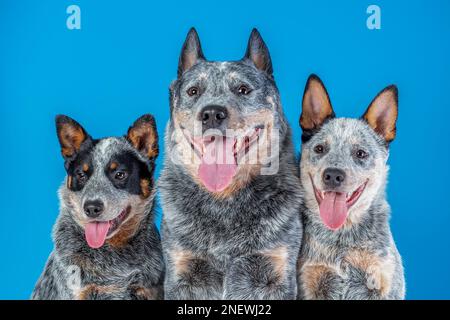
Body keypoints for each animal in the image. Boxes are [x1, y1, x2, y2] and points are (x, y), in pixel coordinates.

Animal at [158, 28, 302, 300]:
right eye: (193, 91)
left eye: (243, 89)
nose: (212, 113)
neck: (224, 200)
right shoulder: (182, 272)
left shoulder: (277, 271)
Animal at [298, 75, 406, 300]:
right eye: (320, 148)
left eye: (361, 153)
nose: (333, 175)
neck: (342, 240)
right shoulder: (309, 280)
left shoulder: (382, 282)